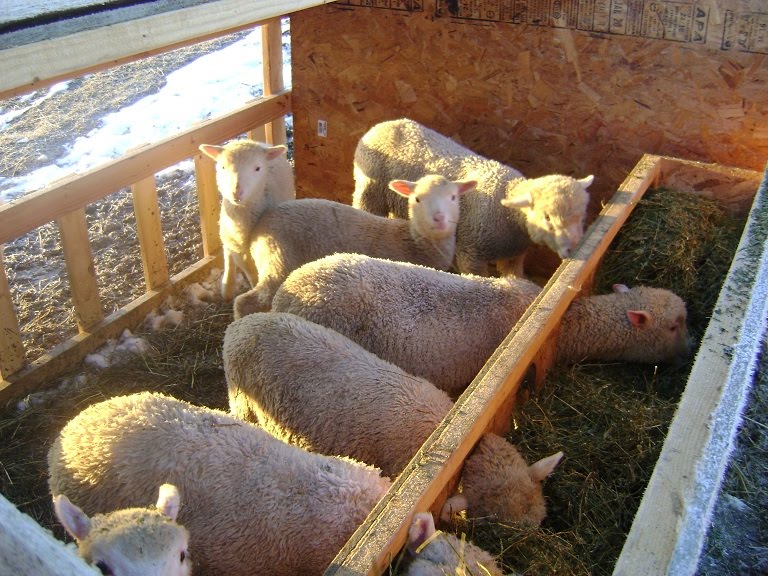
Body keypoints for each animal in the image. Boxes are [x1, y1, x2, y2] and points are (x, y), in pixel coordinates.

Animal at [199, 139, 294, 300]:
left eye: (257, 168)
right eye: (223, 167)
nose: (236, 192)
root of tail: (255, 141)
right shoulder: (238, 250)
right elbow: (251, 274)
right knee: (227, 254)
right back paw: (228, 287)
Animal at [232, 174, 475, 317]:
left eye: (453, 197)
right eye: (417, 199)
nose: (439, 219)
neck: (414, 240)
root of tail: (260, 226)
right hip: (279, 259)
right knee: (246, 301)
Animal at [353, 117, 593, 276]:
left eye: (582, 216)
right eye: (547, 218)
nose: (574, 249)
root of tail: (384, 125)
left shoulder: (514, 256)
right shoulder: (471, 252)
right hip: (370, 190)